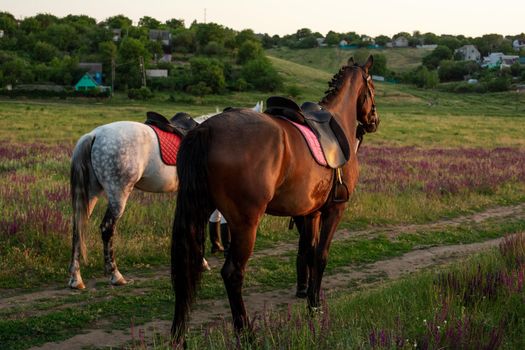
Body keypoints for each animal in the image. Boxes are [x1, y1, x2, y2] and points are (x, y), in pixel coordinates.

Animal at [67, 102, 262, 288]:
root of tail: (94, 135)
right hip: (118, 194)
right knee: (107, 229)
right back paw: (115, 275)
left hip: (91, 194)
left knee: (78, 227)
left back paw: (76, 278)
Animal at [170, 56, 378, 340]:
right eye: (373, 89)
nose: (374, 120)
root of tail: (207, 129)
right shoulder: (335, 210)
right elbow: (321, 255)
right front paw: (316, 305)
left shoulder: (310, 213)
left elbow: (308, 253)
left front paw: (311, 303)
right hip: (245, 223)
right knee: (232, 273)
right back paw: (245, 332)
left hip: (198, 212)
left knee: (184, 270)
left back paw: (178, 333)